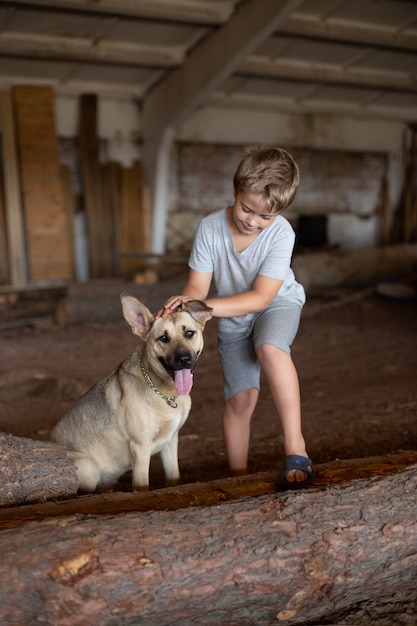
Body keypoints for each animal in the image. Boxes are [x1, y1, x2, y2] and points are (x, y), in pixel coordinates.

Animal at [51, 292, 211, 492]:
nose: (183, 359)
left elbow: (174, 477)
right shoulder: (140, 448)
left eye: (189, 333)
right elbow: (142, 485)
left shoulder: (171, 441)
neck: (164, 393)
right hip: (89, 466)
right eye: (163, 338)